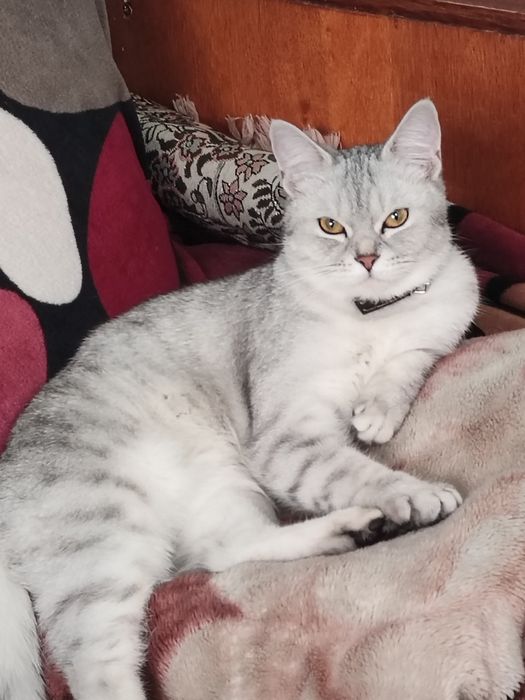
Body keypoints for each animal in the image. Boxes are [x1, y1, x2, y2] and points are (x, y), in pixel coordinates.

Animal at [0, 99, 478, 700]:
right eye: (331, 226)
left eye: (396, 218)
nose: (367, 258)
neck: (372, 315)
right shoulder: (286, 439)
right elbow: (355, 470)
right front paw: (415, 492)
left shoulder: (439, 328)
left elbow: (408, 363)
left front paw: (377, 412)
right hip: (104, 541)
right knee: (98, 672)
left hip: (218, 485)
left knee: (223, 555)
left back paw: (356, 528)